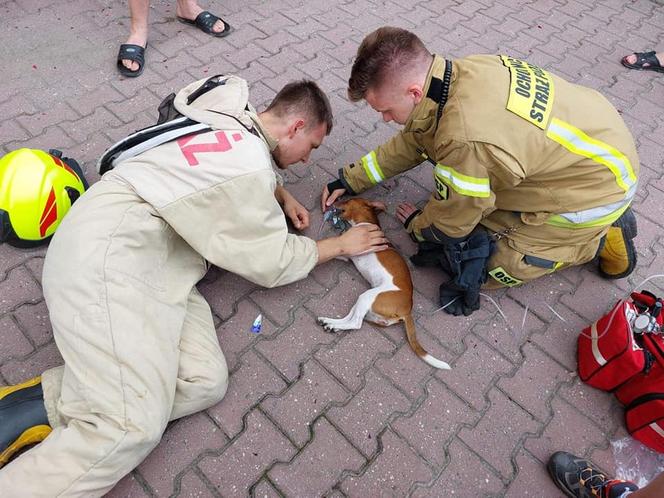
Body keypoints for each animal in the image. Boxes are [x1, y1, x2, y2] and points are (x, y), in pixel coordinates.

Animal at [316, 198, 452, 370]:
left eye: (347, 200)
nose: (333, 203)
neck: (366, 222)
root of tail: (407, 312)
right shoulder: (347, 255)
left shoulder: (350, 251)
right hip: (365, 302)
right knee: (351, 318)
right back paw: (330, 323)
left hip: (368, 296)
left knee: (356, 323)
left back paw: (333, 325)